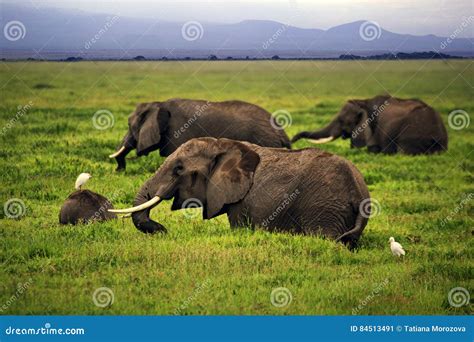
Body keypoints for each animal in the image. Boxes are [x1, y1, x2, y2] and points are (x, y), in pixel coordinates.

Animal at [110, 138, 370, 247]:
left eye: (179, 169)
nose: (164, 230)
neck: (223, 145)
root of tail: (359, 194)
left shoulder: (244, 202)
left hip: (323, 208)